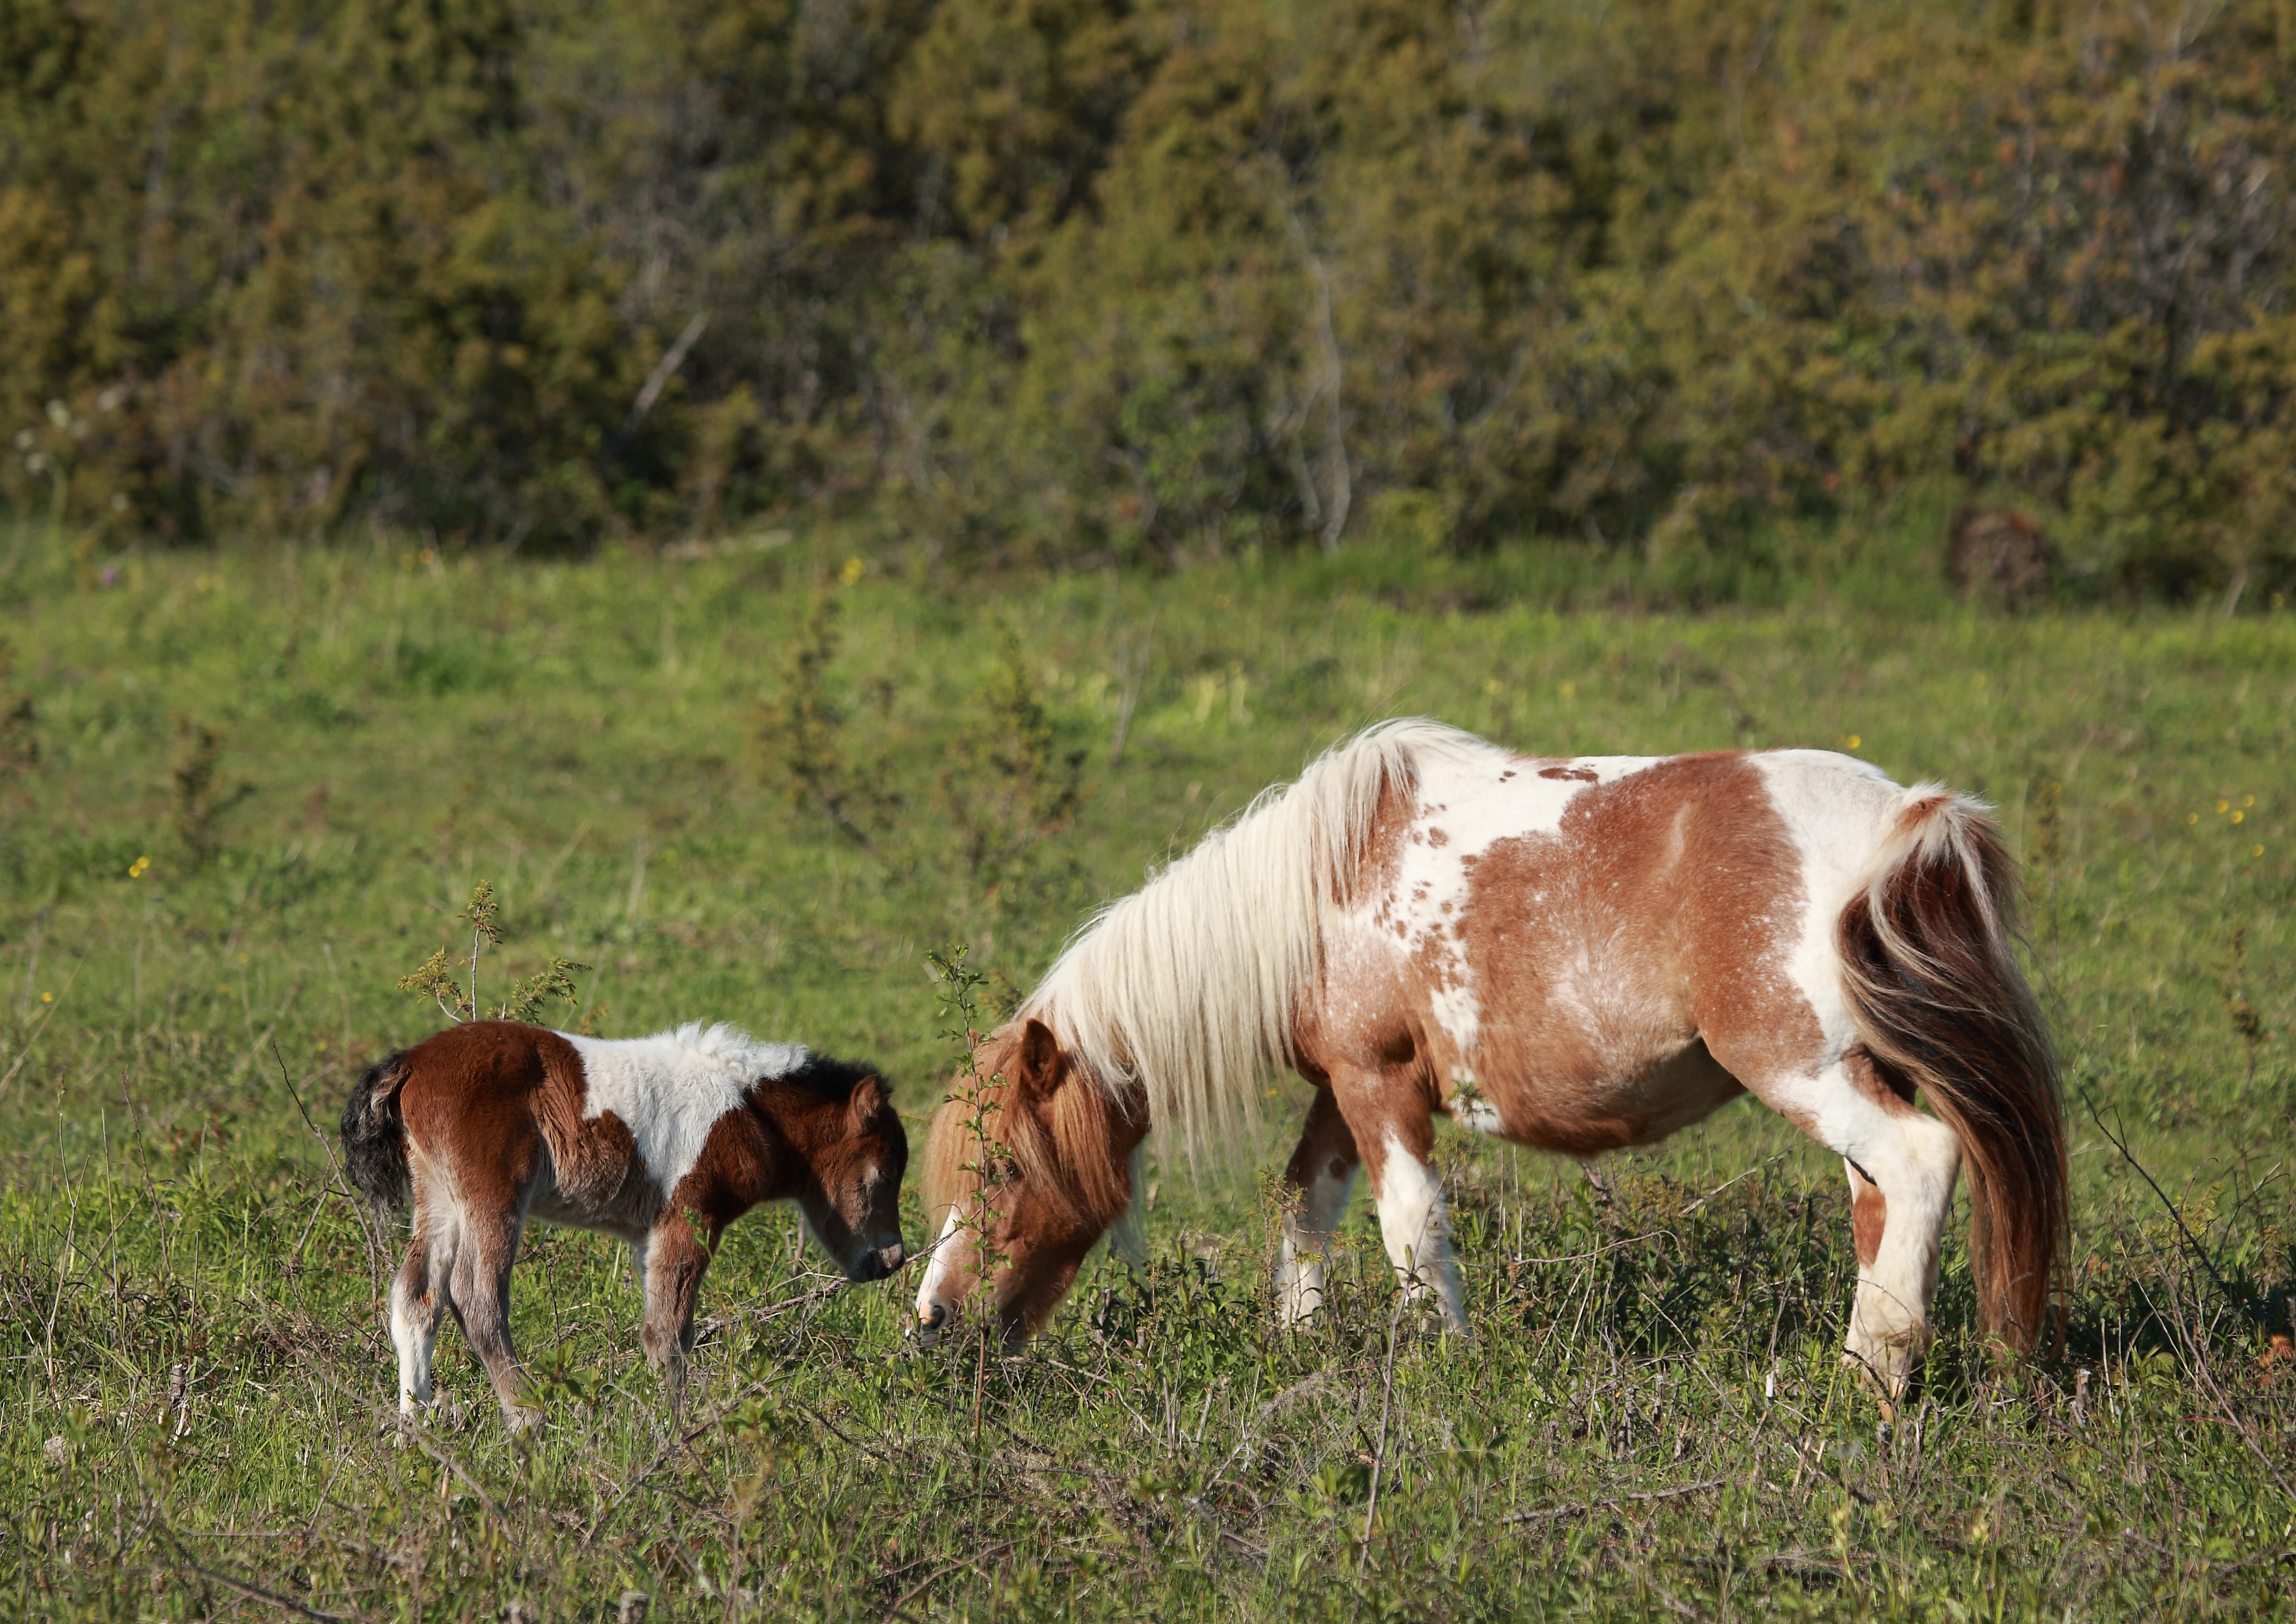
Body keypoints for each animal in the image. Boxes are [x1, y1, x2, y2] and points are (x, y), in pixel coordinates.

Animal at [343, 1019, 907, 1431]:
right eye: (882, 1174)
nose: (891, 1259)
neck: (747, 1114)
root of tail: (412, 1061)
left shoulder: (652, 1234)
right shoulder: (689, 1218)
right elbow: (670, 1331)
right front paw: (673, 1431)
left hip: (439, 1195)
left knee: (417, 1296)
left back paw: (415, 1426)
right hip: (491, 1193)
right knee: (476, 1297)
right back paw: (528, 1415)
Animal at [915, 719, 2066, 1407]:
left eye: (1002, 1170)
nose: (930, 1322)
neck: (1318, 893)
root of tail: (1905, 820)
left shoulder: (1378, 1086)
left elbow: (1409, 1226)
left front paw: (1444, 1364)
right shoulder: (1344, 1091)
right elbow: (1303, 1210)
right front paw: (1304, 1347)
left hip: (1805, 1072)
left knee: (1917, 1164)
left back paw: (1870, 1381)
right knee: (1877, 1202)